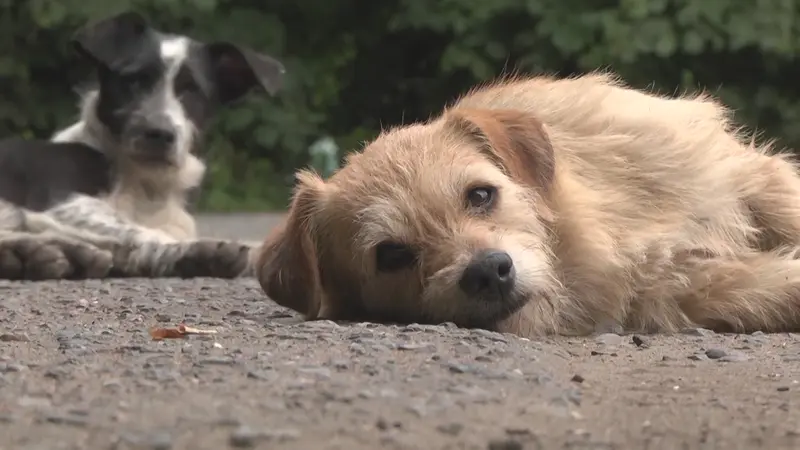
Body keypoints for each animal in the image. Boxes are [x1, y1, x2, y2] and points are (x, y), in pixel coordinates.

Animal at [0, 12, 284, 280]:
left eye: (192, 90)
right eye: (135, 81)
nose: (160, 133)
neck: (146, 183)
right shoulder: (62, 203)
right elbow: (135, 231)